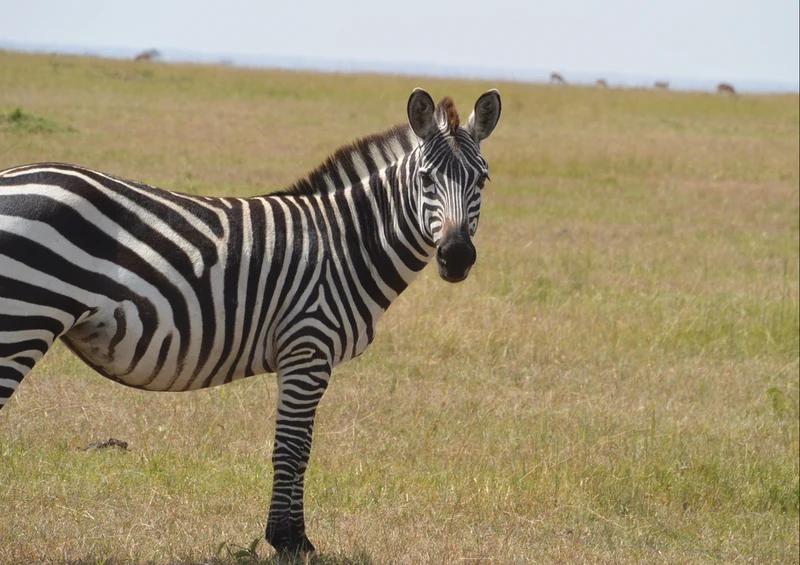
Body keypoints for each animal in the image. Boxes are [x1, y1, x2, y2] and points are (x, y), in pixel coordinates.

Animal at [0, 87, 501, 554]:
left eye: (482, 179)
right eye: (426, 179)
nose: (456, 257)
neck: (349, 242)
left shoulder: (303, 356)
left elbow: (297, 446)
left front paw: (292, 538)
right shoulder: (308, 347)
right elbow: (293, 448)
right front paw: (290, 541)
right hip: (21, 318)